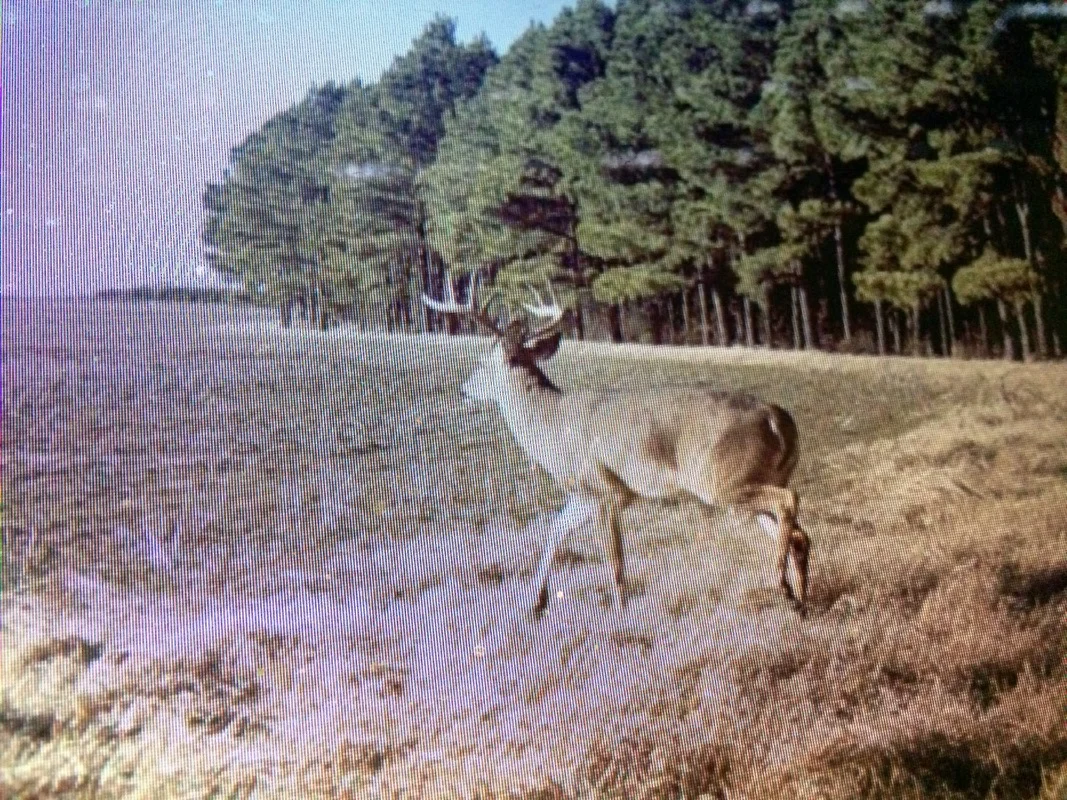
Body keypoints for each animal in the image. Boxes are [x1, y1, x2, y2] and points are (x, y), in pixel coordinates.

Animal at [423, 273, 811, 617]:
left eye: (482, 362)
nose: (464, 388)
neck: (551, 427)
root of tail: (776, 417)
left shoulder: (607, 489)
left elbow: (615, 561)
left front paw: (621, 613)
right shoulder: (583, 493)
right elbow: (553, 532)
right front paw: (536, 603)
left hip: (721, 479)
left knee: (788, 503)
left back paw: (781, 585)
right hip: (754, 482)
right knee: (798, 534)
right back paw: (798, 599)